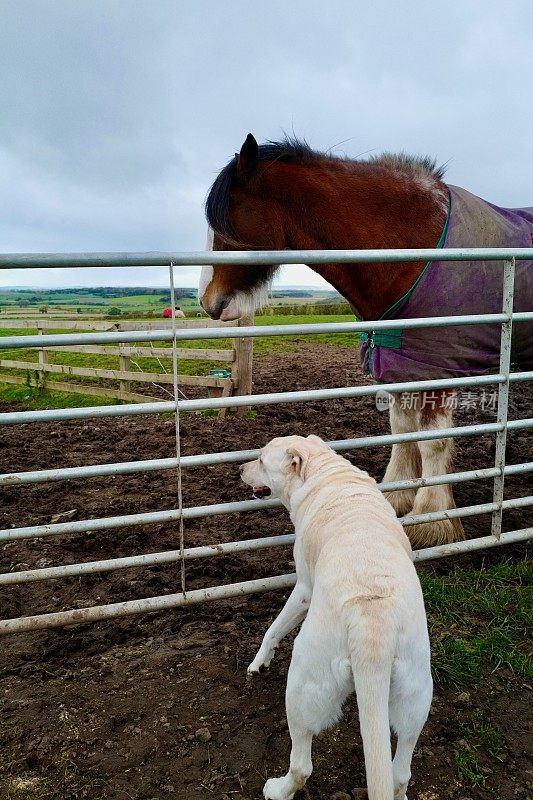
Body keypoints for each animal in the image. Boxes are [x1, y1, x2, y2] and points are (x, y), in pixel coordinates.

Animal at [198, 134, 532, 548]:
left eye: (225, 221)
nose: (207, 300)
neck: (411, 251)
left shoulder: (438, 368)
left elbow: (433, 441)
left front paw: (431, 520)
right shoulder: (403, 367)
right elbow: (402, 432)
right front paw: (397, 497)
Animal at [241, 438, 432, 800]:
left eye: (259, 459)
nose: (239, 469)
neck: (325, 472)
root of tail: (373, 626)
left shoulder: (304, 587)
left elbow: (273, 629)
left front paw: (258, 663)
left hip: (303, 685)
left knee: (302, 764)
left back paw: (278, 789)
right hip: (416, 699)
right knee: (401, 773)